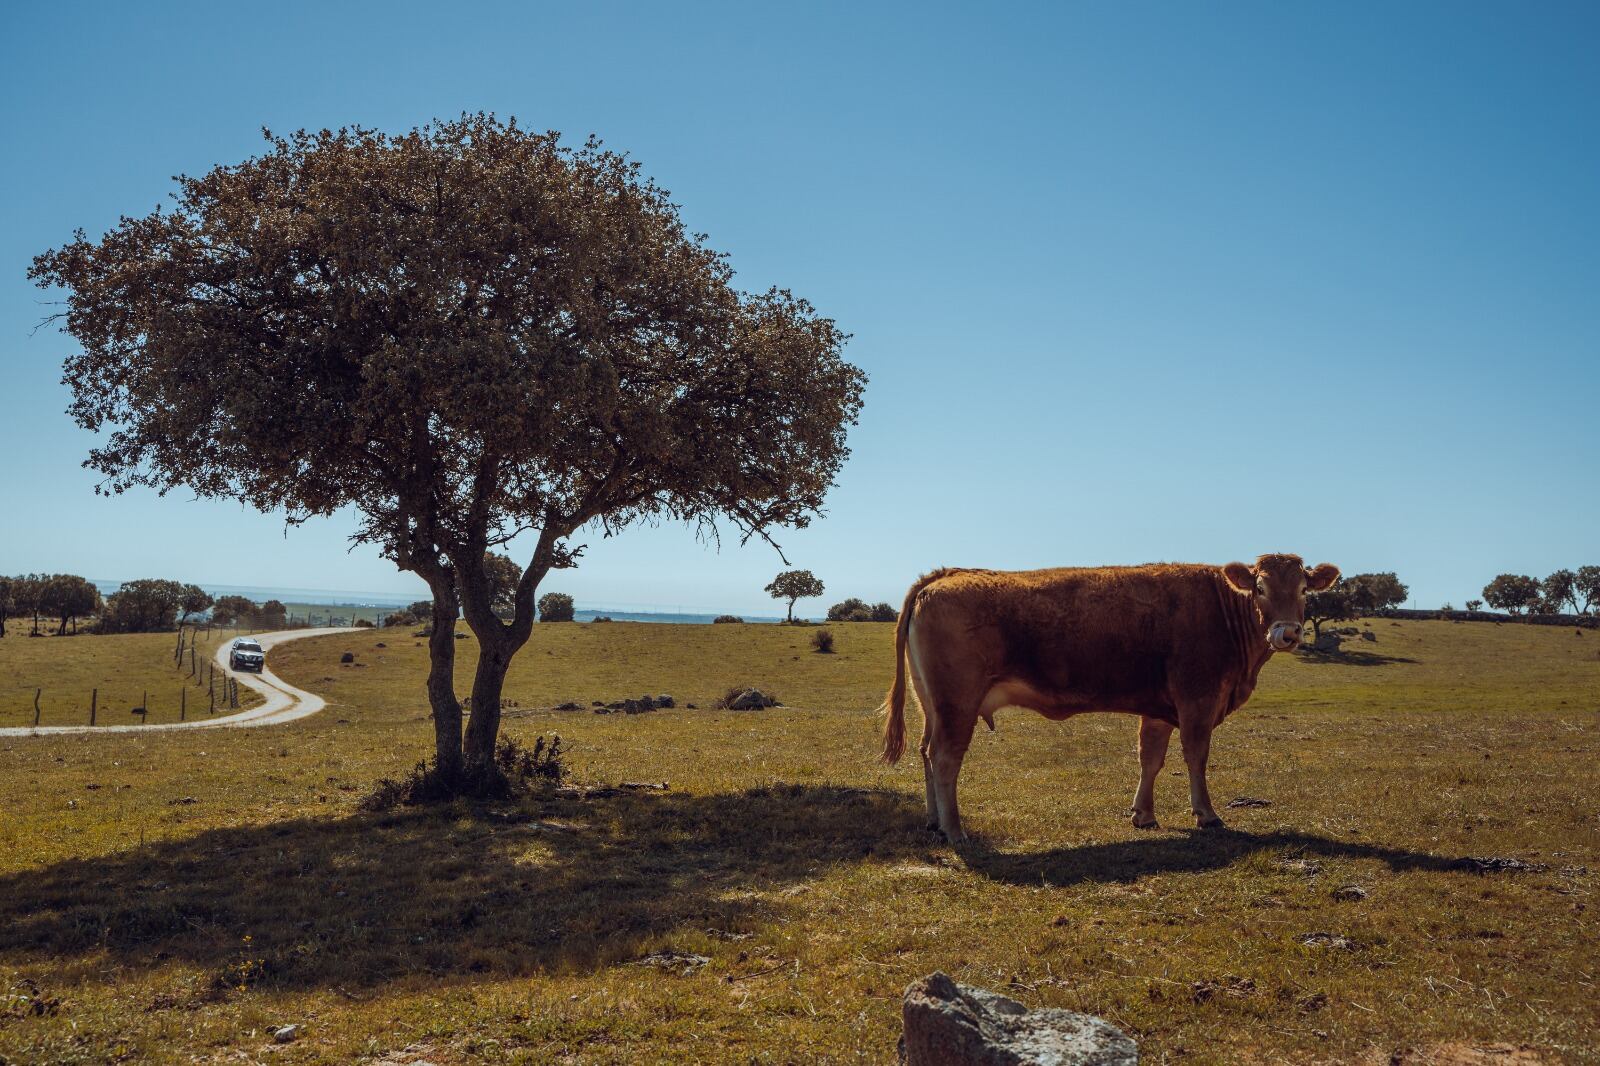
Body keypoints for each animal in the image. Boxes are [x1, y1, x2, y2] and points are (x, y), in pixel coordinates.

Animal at [876, 547, 1337, 838]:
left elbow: (1150, 758)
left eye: (1303, 590)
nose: (1288, 633)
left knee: (926, 752)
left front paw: (1143, 814)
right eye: (1260, 588)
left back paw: (934, 822)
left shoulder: (1158, 707)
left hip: (932, 704)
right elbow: (1196, 756)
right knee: (945, 758)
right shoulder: (1197, 699)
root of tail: (946, 575)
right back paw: (955, 830)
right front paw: (1206, 814)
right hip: (957, 702)